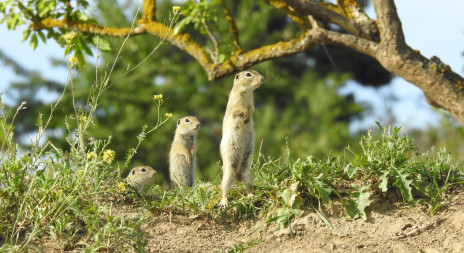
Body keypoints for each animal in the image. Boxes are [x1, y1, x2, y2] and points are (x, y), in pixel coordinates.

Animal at [218, 70, 262, 209]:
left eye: (257, 71)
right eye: (248, 74)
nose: (262, 78)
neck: (247, 91)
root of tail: (237, 176)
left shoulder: (252, 102)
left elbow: (252, 109)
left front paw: (248, 116)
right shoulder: (235, 100)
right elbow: (239, 110)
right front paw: (245, 116)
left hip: (247, 172)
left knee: (248, 186)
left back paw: (251, 195)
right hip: (228, 173)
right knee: (224, 189)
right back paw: (224, 202)